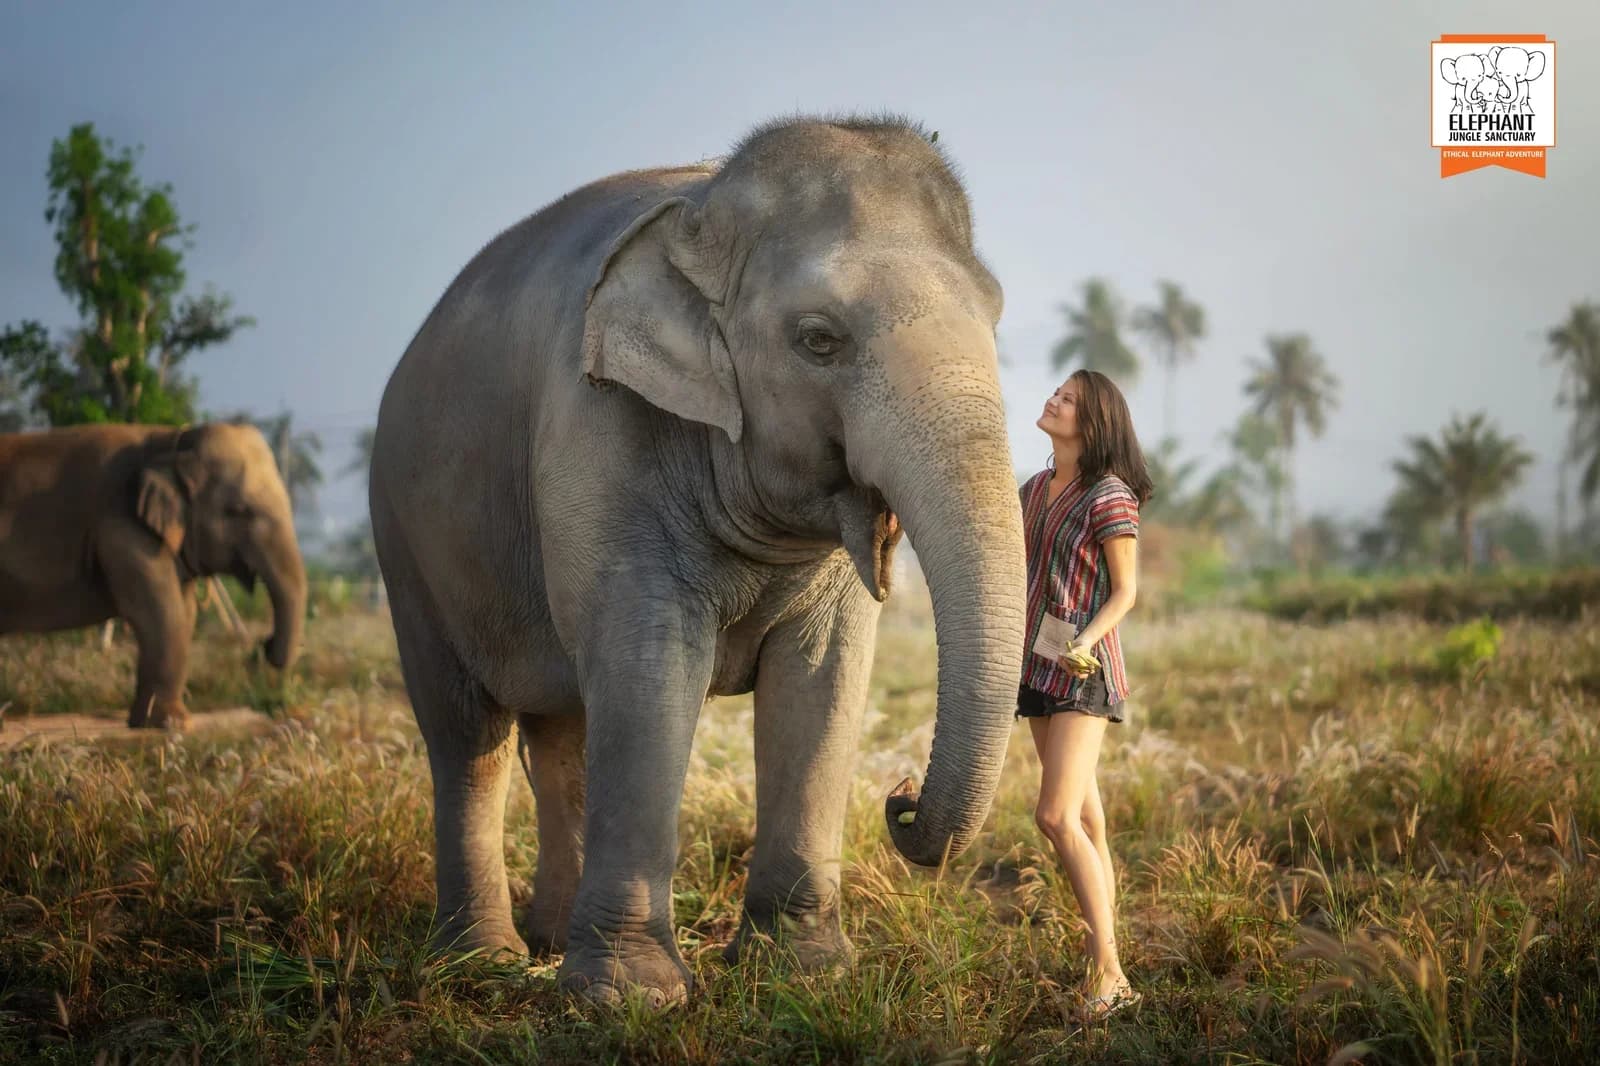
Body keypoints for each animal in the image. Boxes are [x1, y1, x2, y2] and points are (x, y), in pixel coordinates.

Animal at [0, 422, 307, 728]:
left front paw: (149, 722)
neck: (171, 441)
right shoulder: (123, 530)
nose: (263, 646)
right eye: (238, 511)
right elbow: (161, 611)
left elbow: (185, 611)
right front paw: (172, 723)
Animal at [369, 114, 1026, 1005]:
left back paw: (549, 939)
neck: (703, 210)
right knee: (467, 732)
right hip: (405, 542)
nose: (900, 797)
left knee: (563, 729)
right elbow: (650, 668)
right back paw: (483, 961)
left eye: (994, 322)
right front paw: (630, 999)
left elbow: (822, 678)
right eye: (819, 341)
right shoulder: (599, 434)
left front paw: (805, 973)